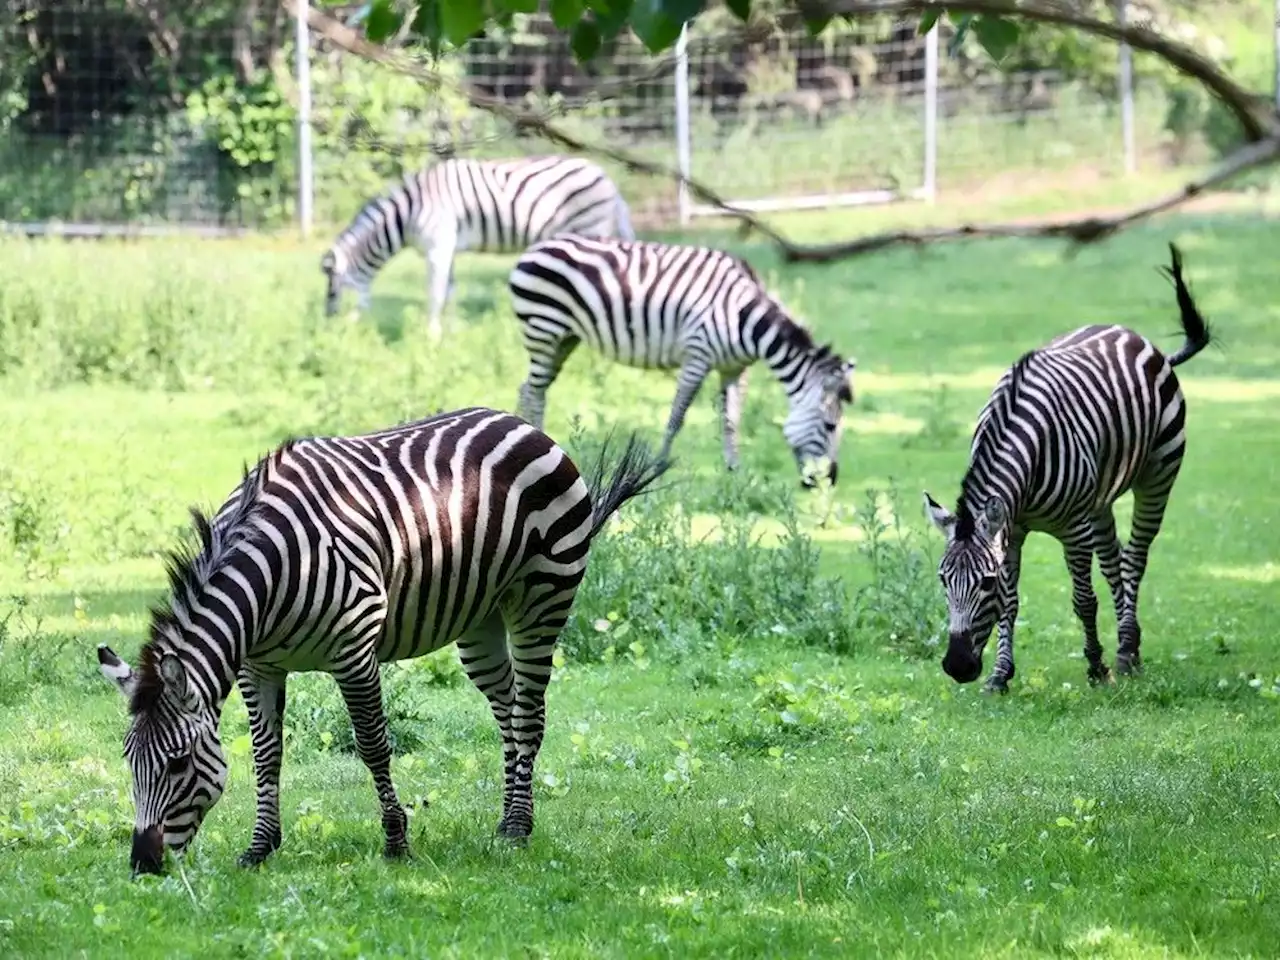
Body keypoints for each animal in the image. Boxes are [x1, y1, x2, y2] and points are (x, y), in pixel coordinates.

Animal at [92, 407, 670, 880]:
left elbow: (372, 746)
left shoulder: (354, 650)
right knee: (508, 712)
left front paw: (396, 842)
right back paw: (508, 817)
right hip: (480, 619)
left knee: (529, 714)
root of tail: (522, 423)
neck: (265, 579)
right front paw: (260, 848)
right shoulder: (259, 666)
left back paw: (518, 830)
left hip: (542, 597)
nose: (142, 865)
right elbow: (265, 753)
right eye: (129, 761)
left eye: (178, 764)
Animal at [322, 154, 637, 337]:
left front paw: (431, 337)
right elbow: (449, 292)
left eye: (333, 293)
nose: (329, 328)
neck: (407, 212)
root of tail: (608, 180)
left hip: (588, 228)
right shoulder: (447, 248)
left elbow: (435, 294)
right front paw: (452, 335)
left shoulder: (438, 246)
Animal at [504, 234, 855, 488]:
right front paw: (658, 466)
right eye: (830, 426)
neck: (744, 318)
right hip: (543, 329)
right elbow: (677, 416)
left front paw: (734, 470)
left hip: (564, 339)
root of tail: (536, 247)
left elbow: (731, 420)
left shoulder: (734, 368)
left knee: (527, 388)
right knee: (535, 392)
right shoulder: (697, 356)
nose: (829, 481)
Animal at [921, 245, 1208, 701]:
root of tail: (1132, 334)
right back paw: (1130, 644)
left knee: (1136, 557)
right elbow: (1013, 602)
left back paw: (1125, 653)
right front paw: (1000, 675)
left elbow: (1082, 599)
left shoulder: (1072, 528)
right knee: (1115, 561)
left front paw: (1097, 668)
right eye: (943, 580)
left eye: (984, 583)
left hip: (1158, 474)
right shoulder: (1013, 528)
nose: (958, 667)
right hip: (1101, 500)